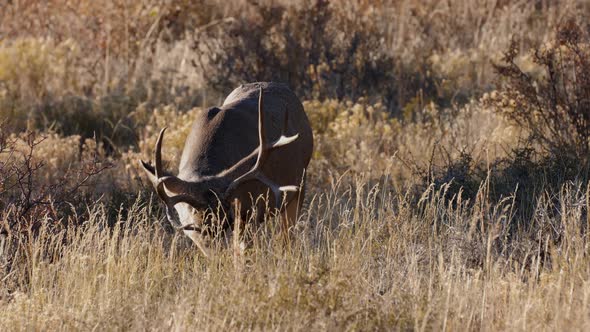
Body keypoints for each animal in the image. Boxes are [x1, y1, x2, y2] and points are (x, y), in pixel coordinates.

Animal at [139, 81, 314, 255]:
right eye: (193, 216)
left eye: (225, 221)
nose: (216, 250)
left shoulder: (249, 209)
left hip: (300, 182)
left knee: (288, 234)